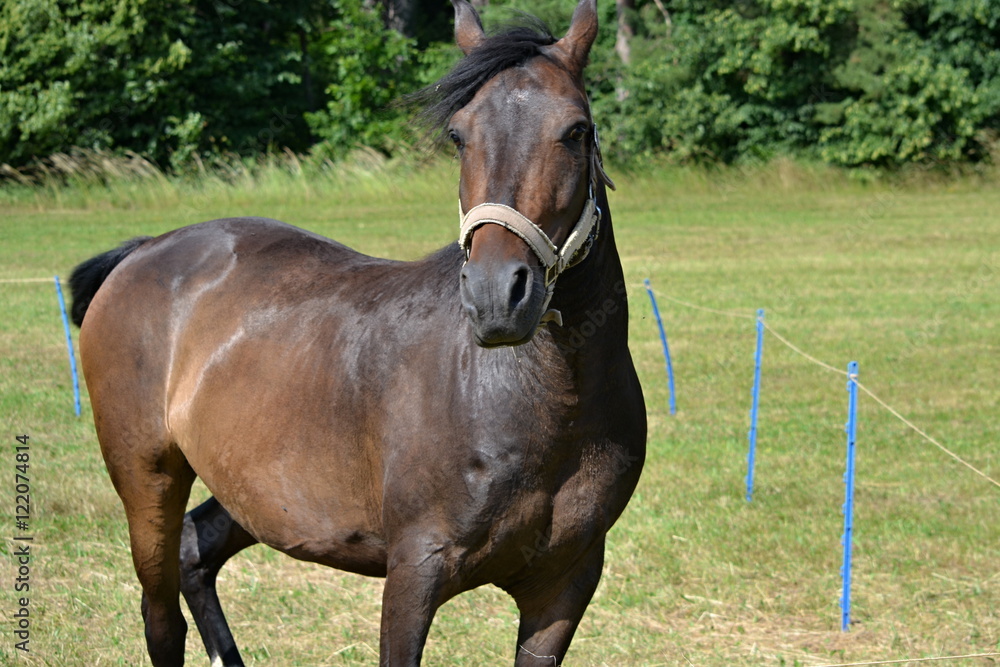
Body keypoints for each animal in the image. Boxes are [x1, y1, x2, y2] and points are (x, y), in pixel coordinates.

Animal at [69, 1, 646, 664]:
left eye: (577, 130)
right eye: (459, 135)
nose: (497, 295)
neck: (549, 404)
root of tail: (143, 252)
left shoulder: (564, 585)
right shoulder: (416, 572)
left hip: (252, 486)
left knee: (196, 549)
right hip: (148, 481)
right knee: (160, 613)